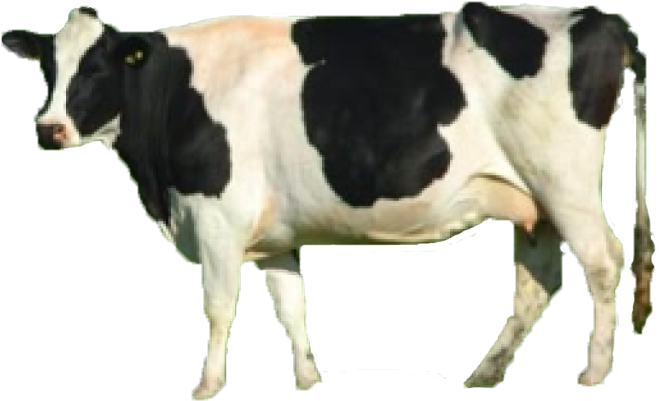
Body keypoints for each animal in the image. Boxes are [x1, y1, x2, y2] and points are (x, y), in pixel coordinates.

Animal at [2, 4, 652, 398]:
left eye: (96, 69)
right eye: (48, 69)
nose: (48, 129)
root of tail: (594, 16)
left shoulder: (217, 217)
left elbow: (218, 308)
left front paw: (206, 387)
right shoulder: (272, 234)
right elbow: (292, 307)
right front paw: (308, 381)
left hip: (564, 181)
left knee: (602, 261)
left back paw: (593, 371)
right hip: (532, 200)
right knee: (538, 283)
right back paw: (485, 375)